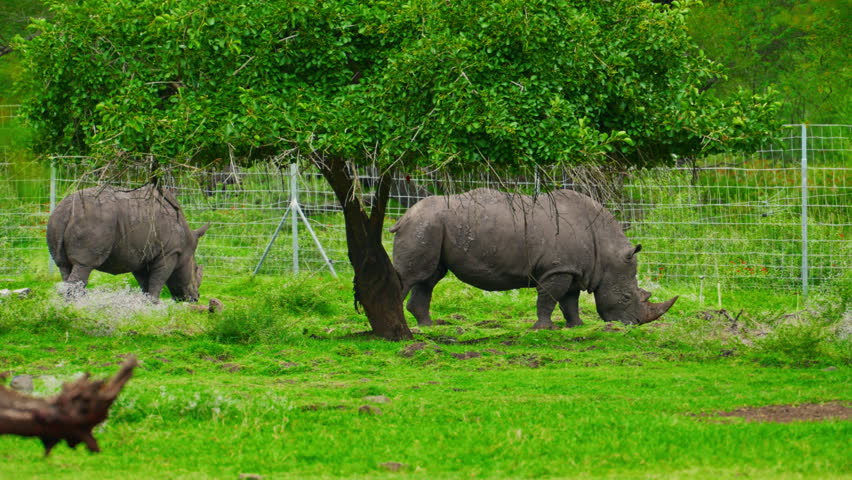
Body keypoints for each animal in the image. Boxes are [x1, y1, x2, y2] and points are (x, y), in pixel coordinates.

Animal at [47, 185, 208, 302]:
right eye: (195, 270)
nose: (196, 298)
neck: (186, 244)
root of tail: (66, 209)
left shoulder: (141, 256)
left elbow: (145, 283)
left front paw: (145, 305)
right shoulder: (169, 252)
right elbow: (159, 279)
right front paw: (154, 304)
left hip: (57, 219)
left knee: (64, 266)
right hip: (92, 220)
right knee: (83, 265)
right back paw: (79, 305)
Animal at [391, 188, 677, 329]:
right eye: (627, 297)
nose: (633, 325)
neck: (605, 252)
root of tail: (404, 216)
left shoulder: (571, 269)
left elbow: (569, 302)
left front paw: (577, 326)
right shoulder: (556, 269)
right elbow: (549, 299)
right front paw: (543, 328)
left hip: (430, 225)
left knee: (429, 277)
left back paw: (428, 326)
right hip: (424, 225)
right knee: (412, 277)